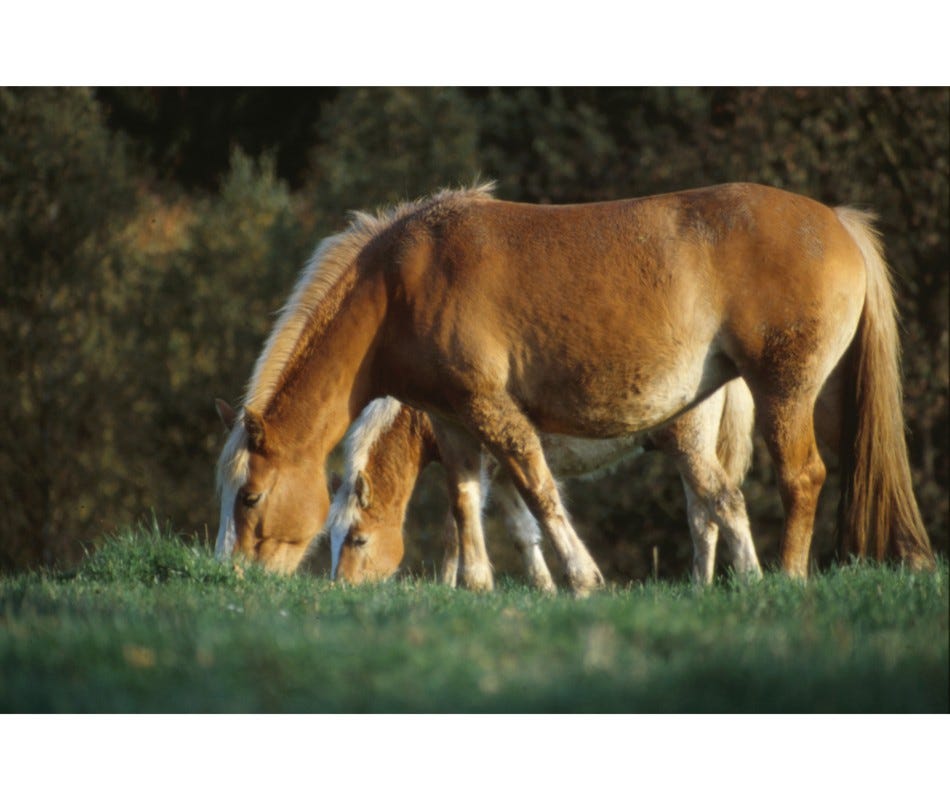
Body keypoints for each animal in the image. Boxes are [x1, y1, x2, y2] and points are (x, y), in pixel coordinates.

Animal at [216, 183, 936, 592]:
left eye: (250, 497)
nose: (233, 580)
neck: (400, 286)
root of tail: (837, 220)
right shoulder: (454, 424)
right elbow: (465, 506)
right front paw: (477, 587)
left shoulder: (493, 414)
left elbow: (537, 496)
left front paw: (581, 581)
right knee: (717, 503)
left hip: (785, 393)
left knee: (797, 479)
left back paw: (782, 581)